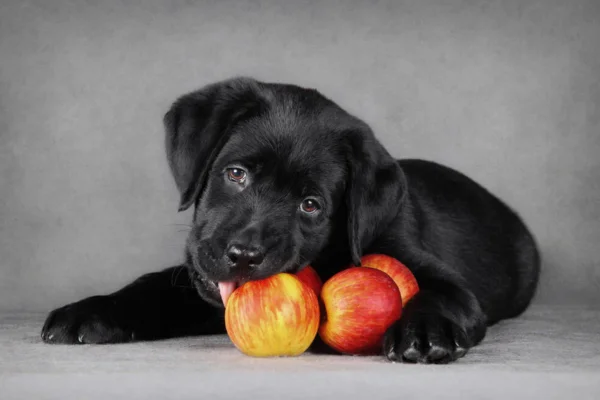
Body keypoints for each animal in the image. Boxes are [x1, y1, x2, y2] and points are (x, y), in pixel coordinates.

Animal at [41, 76, 540, 364]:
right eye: (236, 174)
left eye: (311, 204)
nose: (244, 256)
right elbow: (152, 286)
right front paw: (92, 311)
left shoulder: (441, 277)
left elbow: (442, 294)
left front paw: (423, 332)